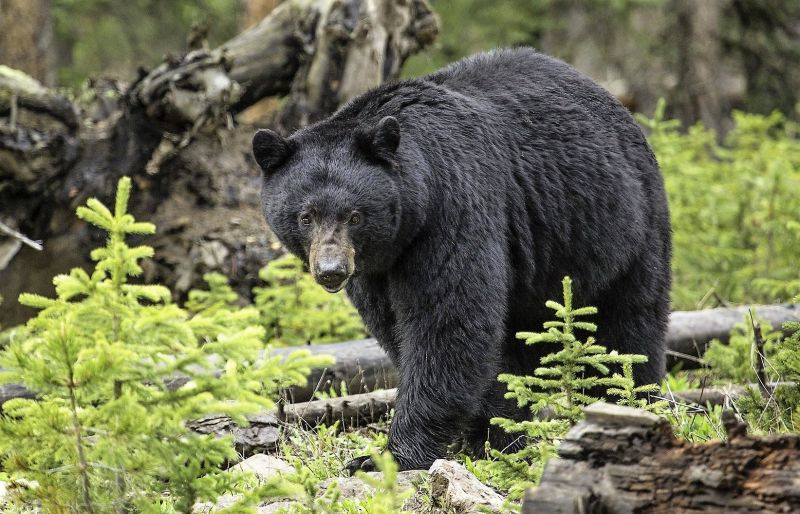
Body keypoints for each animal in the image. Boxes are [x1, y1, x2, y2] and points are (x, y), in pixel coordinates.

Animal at [253, 47, 672, 468]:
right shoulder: (376, 269)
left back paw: (628, 403)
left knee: (629, 326)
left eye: (355, 215)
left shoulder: (453, 209)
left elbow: (448, 323)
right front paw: (492, 434)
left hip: (622, 228)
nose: (331, 271)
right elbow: (398, 327)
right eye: (305, 216)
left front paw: (389, 455)